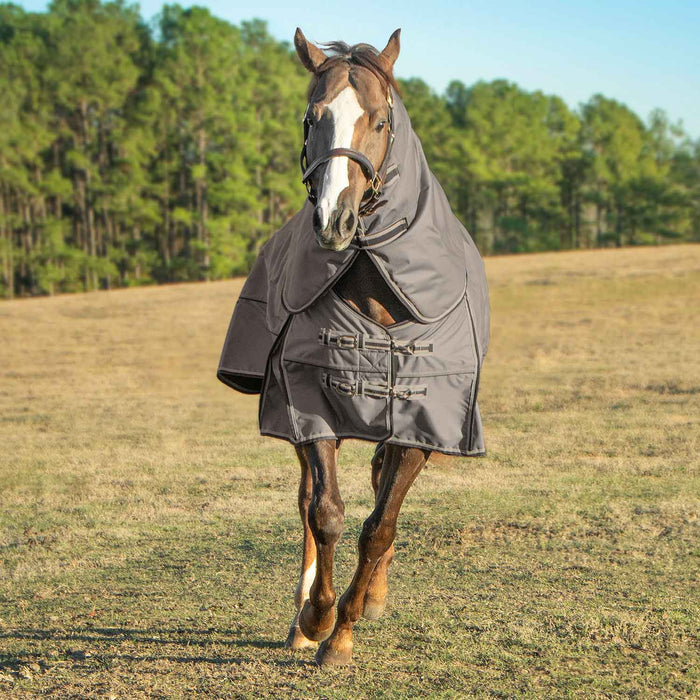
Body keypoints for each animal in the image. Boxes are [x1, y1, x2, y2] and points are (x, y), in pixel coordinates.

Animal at [217, 28, 490, 666]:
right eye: (311, 118)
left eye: (381, 121)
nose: (334, 220)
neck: (376, 288)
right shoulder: (310, 406)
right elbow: (326, 513)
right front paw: (317, 619)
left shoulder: (420, 424)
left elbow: (380, 524)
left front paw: (345, 629)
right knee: (307, 501)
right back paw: (306, 613)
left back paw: (369, 598)